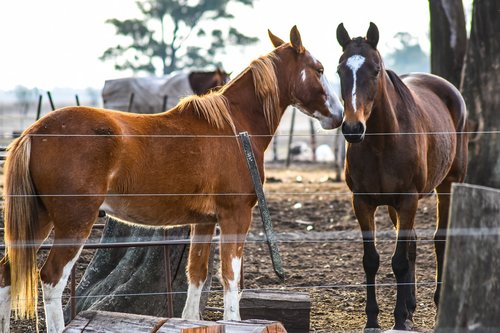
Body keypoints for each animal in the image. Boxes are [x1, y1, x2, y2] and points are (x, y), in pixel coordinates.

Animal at [0, 26, 344, 332]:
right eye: (319, 69)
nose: (339, 116)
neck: (233, 127)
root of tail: (35, 131)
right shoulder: (235, 216)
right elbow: (231, 278)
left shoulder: (204, 222)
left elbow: (197, 275)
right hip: (74, 224)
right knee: (51, 280)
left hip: (40, 220)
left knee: (7, 275)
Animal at [336, 22, 468, 330]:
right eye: (339, 70)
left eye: (375, 69)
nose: (352, 128)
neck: (383, 142)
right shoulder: (363, 202)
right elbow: (372, 259)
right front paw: (374, 320)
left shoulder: (408, 199)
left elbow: (398, 262)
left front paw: (397, 320)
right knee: (413, 244)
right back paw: (410, 307)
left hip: (448, 184)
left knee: (439, 239)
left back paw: (435, 305)